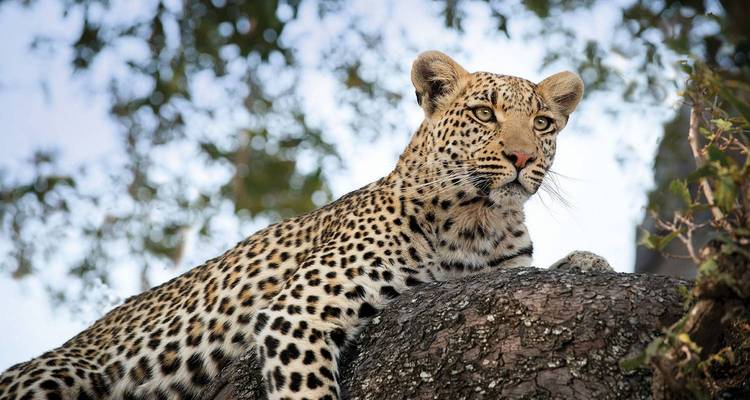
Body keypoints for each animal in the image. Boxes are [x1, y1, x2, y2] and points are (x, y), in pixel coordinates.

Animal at [0, 51, 585, 400]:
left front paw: (583, 258)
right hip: (61, 373)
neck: (478, 220)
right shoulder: (295, 314)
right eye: (485, 114)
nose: (522, 157)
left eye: (542, 123)